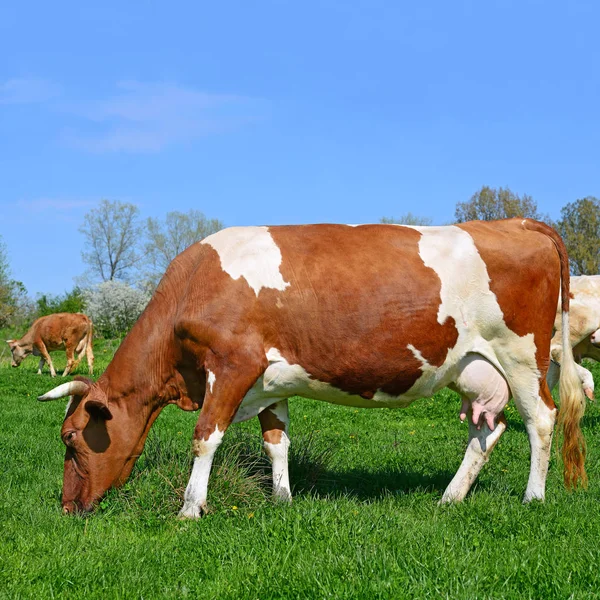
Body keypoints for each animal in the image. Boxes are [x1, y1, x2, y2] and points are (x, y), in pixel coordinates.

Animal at [38, 220, 584, 516]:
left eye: (71, 438)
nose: (66, 508)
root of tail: (516, 222)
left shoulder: (233, 366)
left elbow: (206, 437)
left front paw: (190, 508)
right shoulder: (266, 381)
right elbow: (276, 441)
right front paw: (282, 500)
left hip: (522, 354)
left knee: (541, 419)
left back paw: (533, 497)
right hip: (474, 369)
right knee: (487, 430)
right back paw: (450, 498)